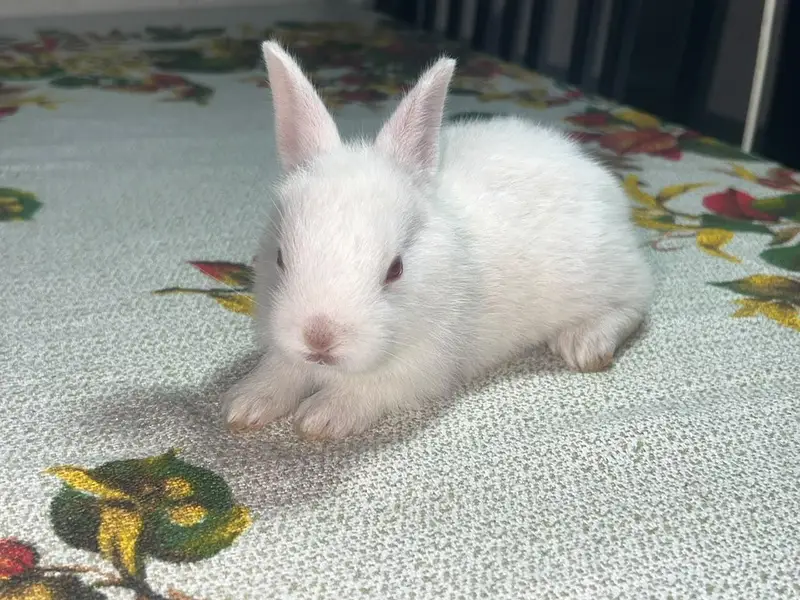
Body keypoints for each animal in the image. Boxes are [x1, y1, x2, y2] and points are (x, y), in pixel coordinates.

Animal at [221, 40, 654, 440]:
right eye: (280, 258)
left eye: (395, 269)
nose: (319, 338)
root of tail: (599, 179)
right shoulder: (285, 351)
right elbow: (279, 371)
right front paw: (245, 404)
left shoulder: (420, 366)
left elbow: (367, 389)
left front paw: (320, 419)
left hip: (606, 274)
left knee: (635, 305)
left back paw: (583, 345)